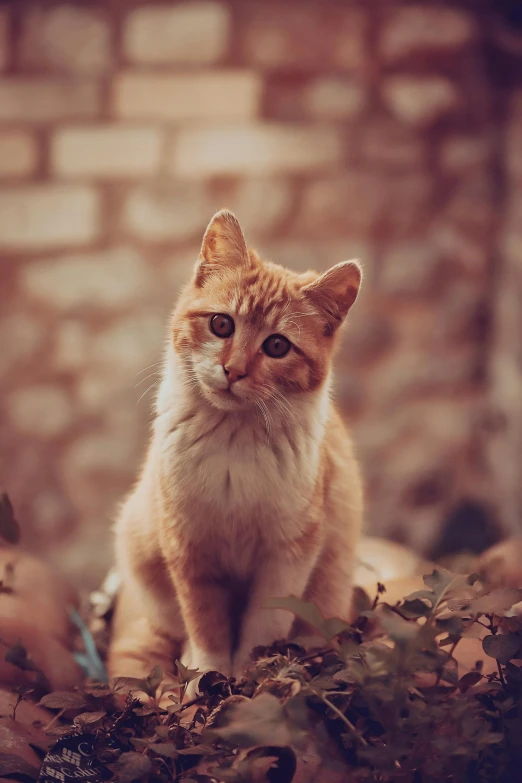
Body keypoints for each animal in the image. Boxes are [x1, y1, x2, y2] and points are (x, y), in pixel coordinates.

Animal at [107, 210, 362, 692]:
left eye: (277, 345)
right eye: (221, 324)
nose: (233, 369)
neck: (233, 438)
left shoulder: (288, 554)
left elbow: (264, 623)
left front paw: (248, 676)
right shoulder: (188, 549)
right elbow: (204, 623)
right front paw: (208, 674)